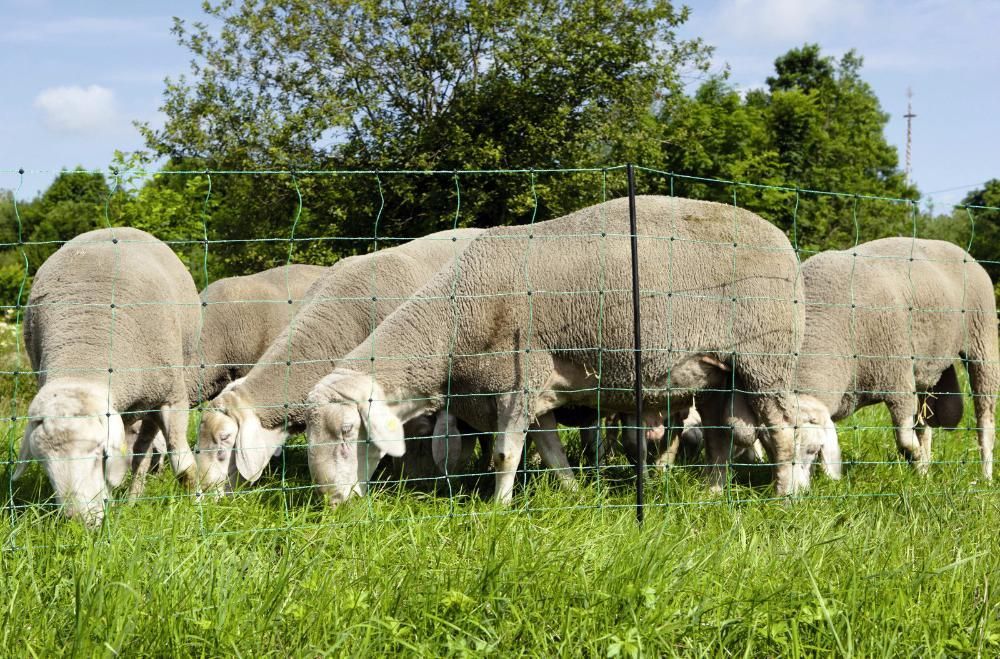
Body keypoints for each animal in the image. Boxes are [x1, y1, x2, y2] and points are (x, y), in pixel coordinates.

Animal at [15, 227, 201, 524]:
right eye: (43, 463)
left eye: (99, 454)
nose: (79, 521)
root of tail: (113, 228)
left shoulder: (172, 397)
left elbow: (183, 467)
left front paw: (198, 509)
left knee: (143, 453)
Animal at [304, 193, 804, 508]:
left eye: (348, 431)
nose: (333, 503)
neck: (453, 324)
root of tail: (781, 240)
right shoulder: (536, 391)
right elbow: (549, 450)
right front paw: (573, 492)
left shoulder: (516, 382)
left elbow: (506, 455)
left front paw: (497, 510)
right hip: (720, 373)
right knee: (721, 439)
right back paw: (712, 493)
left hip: (765, 362)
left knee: (782, 432)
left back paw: (783, 496)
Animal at [752, 237, 996, 484]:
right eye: (769, 450)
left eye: (810, 448)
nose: (791, 493)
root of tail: (954, 247)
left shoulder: (898, 377)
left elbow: (905, 441)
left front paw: (918, 464)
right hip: (928, 365)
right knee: (925, 423)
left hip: (982, 339)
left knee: (985, 420)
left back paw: (985, 475)